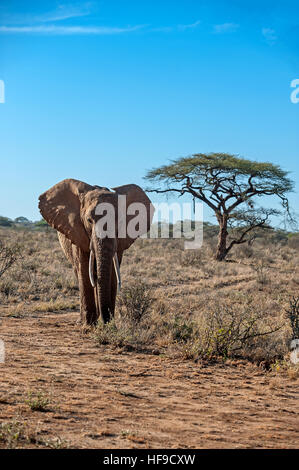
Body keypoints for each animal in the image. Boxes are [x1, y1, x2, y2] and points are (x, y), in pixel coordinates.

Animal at [38, 178, 154, 324]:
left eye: (120, 221)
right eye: (89, 220)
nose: (106, 320)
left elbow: (112, 273)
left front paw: (109, 323)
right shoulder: (77, 232)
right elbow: (84, 271)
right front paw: (88, 324)